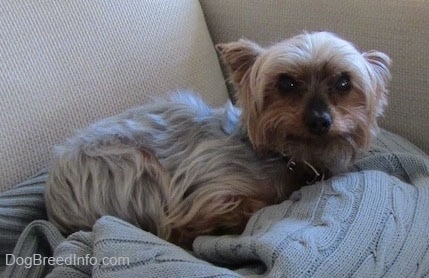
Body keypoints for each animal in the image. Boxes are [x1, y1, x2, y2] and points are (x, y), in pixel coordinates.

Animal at [45, 31, 390, 249]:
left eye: (343, 82)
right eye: (286, 83)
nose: (320, 120)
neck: (287, 157)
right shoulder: (205, 188)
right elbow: (234, 206)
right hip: (133, 167)